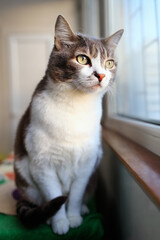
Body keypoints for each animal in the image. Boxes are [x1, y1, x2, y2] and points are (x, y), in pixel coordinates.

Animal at [14, 14, 124, 234]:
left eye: (109, 63)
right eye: (82, 59)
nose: (101, 75)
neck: (75, 107)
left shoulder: (87, 164)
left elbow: (75, 195)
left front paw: (73, 217)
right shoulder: (42, 164)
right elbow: (54, 195)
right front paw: (60, 222)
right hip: (27, 184)